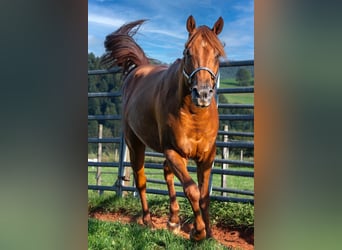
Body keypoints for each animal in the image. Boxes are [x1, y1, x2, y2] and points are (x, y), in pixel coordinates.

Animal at [101, 15, 224, 240]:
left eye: (217, 53)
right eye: (187, 52)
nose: (202, 94)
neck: (195, 115)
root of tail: (139, 69)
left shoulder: (207, 157)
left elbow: (204, 196)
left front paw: (209, 234)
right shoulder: (173, 151)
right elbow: (192, 190)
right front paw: (198, 232)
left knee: (166, 173)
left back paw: (173, 220)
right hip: (135, 144)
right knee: (141, 180)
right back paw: (148, 221)